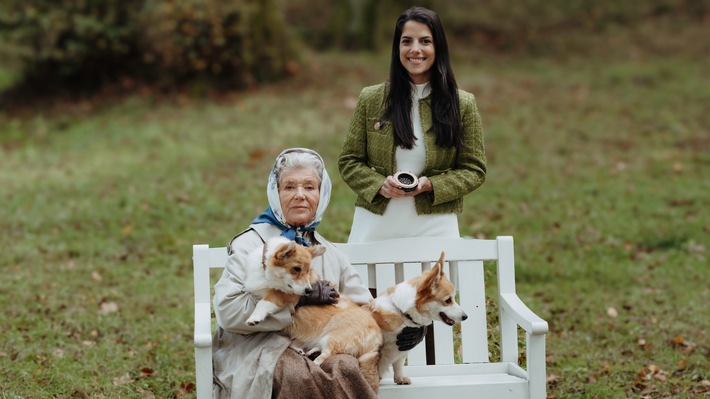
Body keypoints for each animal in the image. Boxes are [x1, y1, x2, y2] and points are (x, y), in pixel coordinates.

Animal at [368, 252, 472, 386]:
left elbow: (398, 365)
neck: (403, 312)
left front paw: (400, 379)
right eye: (448, 300)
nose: (465, 317)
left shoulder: (402, 351)